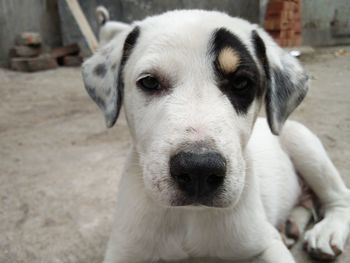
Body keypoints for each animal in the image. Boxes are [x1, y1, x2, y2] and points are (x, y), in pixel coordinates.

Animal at [82, 8, 350, 263]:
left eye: (241, 83)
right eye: (149, 82)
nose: (198, 170)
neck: (189, 216)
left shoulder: (266, 244)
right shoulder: (123, 251)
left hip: (302, 142)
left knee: (340, 197)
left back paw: (327, 231)